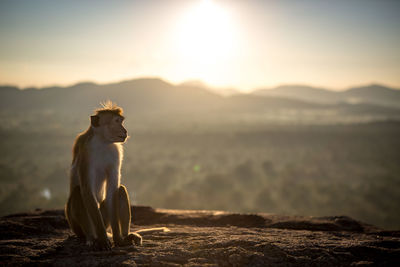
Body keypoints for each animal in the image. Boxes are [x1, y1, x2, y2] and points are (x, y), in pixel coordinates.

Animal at [66, 102, 145, 251]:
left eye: (121, 121)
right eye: (116, 121)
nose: (125, 131)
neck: (102, 141)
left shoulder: (116, 152)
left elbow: (113, 191)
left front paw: (119, 240)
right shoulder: (86, 151)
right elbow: (87, 189)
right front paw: (103, 239)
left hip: (105, 218)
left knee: (121, 190)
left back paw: (126, 236)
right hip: (75, 224)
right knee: (78, 192)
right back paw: (91, 238)